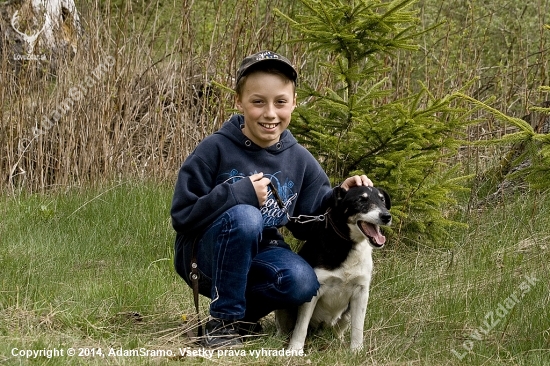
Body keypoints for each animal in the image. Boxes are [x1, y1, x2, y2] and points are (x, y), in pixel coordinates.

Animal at [276, 186, 392, 352]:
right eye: (361, 200)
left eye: (382, 200)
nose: (386, 216)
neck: (348, 245)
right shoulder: (315, 291)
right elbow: (301, 327)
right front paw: (295, 349)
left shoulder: (361, 293)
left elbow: (358, 328)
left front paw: (356, 351)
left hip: (346, 315)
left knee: (338, 330)